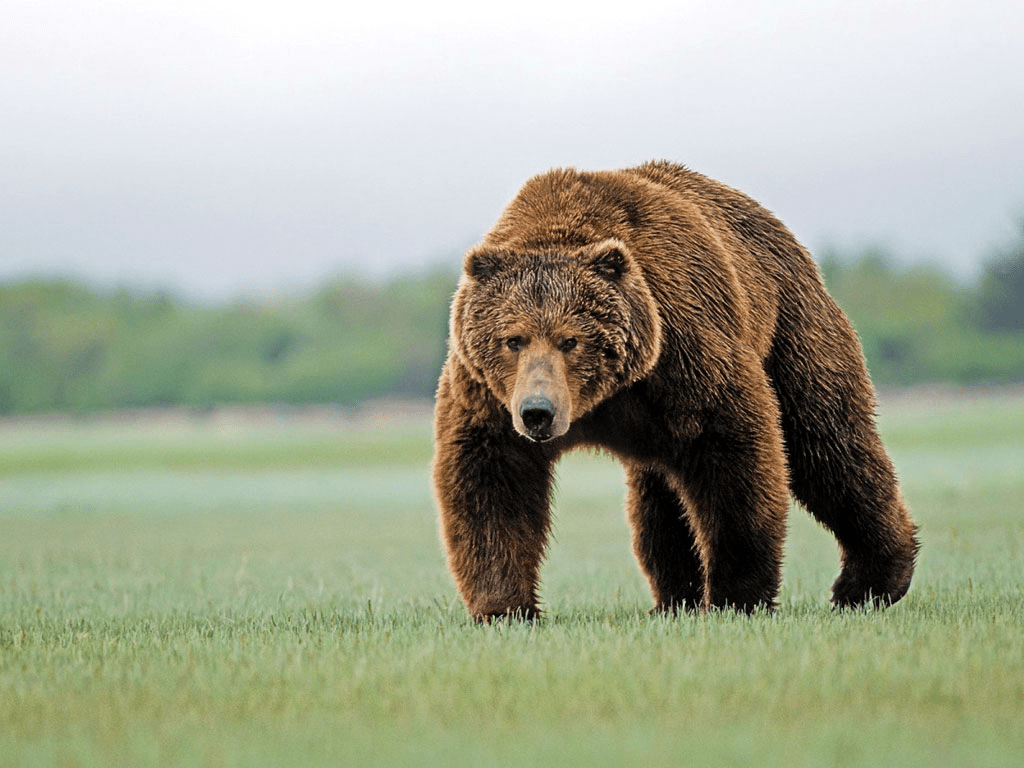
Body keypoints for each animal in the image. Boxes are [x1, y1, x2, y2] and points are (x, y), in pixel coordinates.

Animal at [432, 160, 919, 622]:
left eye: (571, 339)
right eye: (513, 339)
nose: (538, 412)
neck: (604, 398)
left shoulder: (685, 353)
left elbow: (735, 460)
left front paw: (736, 596)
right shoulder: (488, 396)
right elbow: (492, 481)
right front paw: (504, 607)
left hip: (791, 328)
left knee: (828, 444)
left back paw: (869, 582)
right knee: (659, 501)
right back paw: (673, 598)